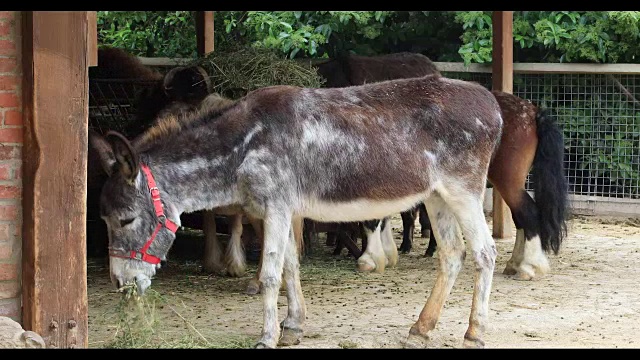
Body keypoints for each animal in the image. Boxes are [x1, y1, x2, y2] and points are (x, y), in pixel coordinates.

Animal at [89, 74, 504, 348]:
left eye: (126, 219)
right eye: (104, 220)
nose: (120, 283)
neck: (241, 147)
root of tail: (493, 104)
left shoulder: (275, 207)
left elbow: (271, 274)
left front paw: (267, 336)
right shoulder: (284, 210)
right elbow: (290, 266)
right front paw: (293, 326)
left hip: (464, 190)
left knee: (485, 253)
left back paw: (475, 332)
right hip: (436, 196)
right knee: (452, 254)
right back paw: (422, 327)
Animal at [318, 52, 568, 280]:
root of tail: (532, 111)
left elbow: (373, 219)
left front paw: (370, 258)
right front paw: (387, 255)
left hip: (507, 180)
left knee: (527, 213)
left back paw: (529, 267)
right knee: (521, 219)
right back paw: (516, 263)